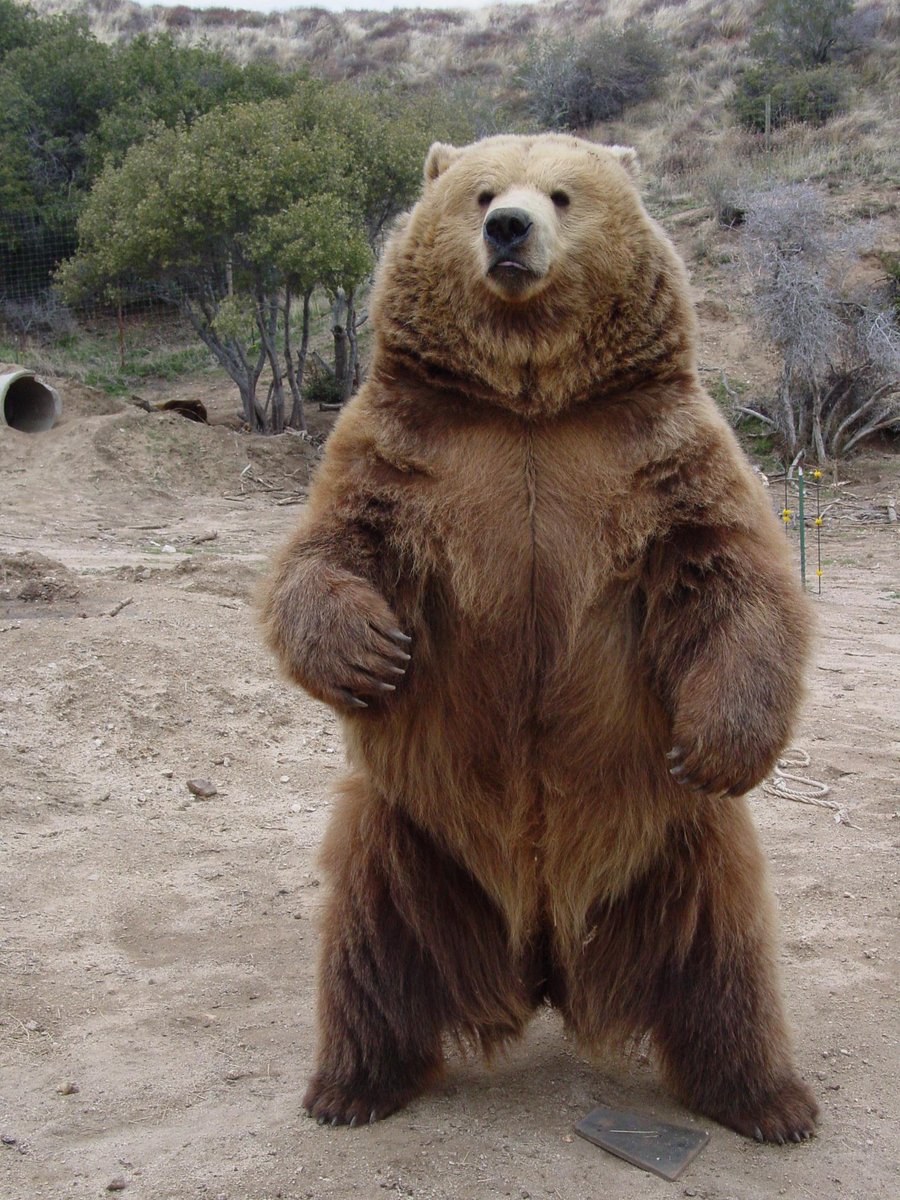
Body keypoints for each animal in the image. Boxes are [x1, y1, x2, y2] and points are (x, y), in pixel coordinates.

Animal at [261, 133, 819, 1144]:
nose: (509, 229)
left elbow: (734, 581)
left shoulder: (658, 453)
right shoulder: (407, 449)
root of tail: (546, 960)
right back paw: (350, 1087)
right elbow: (329, 548)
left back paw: (770, 1102)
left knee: (727, 961)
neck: (530, 399)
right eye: (480, 193)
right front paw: (371, 650)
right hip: (409, 833)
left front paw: (721, 743)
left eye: (562, 194)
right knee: (369, 947)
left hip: (680, 843)